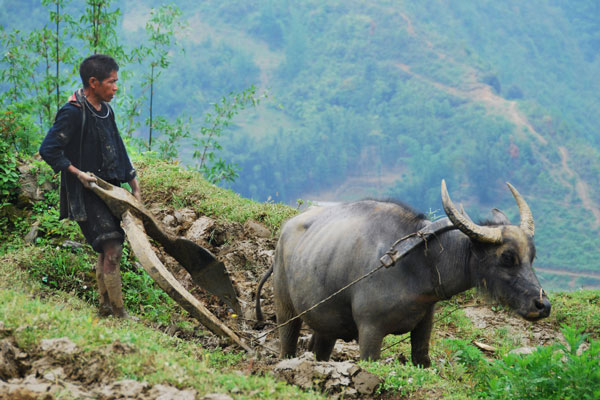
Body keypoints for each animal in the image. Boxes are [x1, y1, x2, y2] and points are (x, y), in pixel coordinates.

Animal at [256, 180, 548, 366]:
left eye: (532, 256)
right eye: (507, 257)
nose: (542, 305)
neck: (421, 263)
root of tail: (285, 231)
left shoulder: (424, 325)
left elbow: (422, 359)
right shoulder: (370, 331)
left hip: (325, 325)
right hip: (286, 310)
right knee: (287, 346)